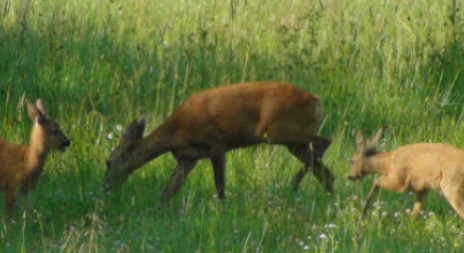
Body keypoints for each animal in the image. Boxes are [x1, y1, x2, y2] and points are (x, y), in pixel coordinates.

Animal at [103, 82, 334, 201]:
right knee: (325, 171)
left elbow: (220, 187)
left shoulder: (217, 144)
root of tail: (317, 100)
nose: (105, 186)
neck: (177, 131)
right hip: (292, 141)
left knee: (324, 141)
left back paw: (294, 183)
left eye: (108, 161)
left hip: (277, 131)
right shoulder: (188, 158)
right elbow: (169, 191)